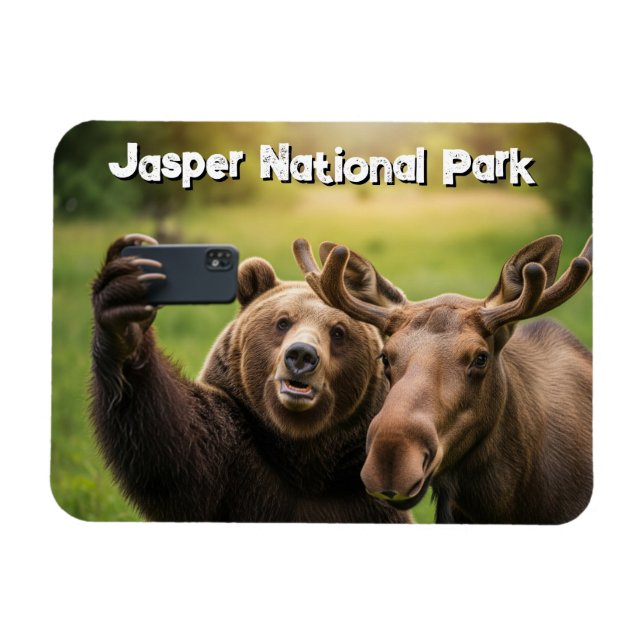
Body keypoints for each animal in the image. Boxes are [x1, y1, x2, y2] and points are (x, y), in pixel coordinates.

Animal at [89, 234, 411, 522]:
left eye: (338, 331)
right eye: (283, 322)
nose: (301, 355)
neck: (304, 458)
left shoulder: (357, 493)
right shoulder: (235, 453)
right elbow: (174, 451)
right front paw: (124, 313)